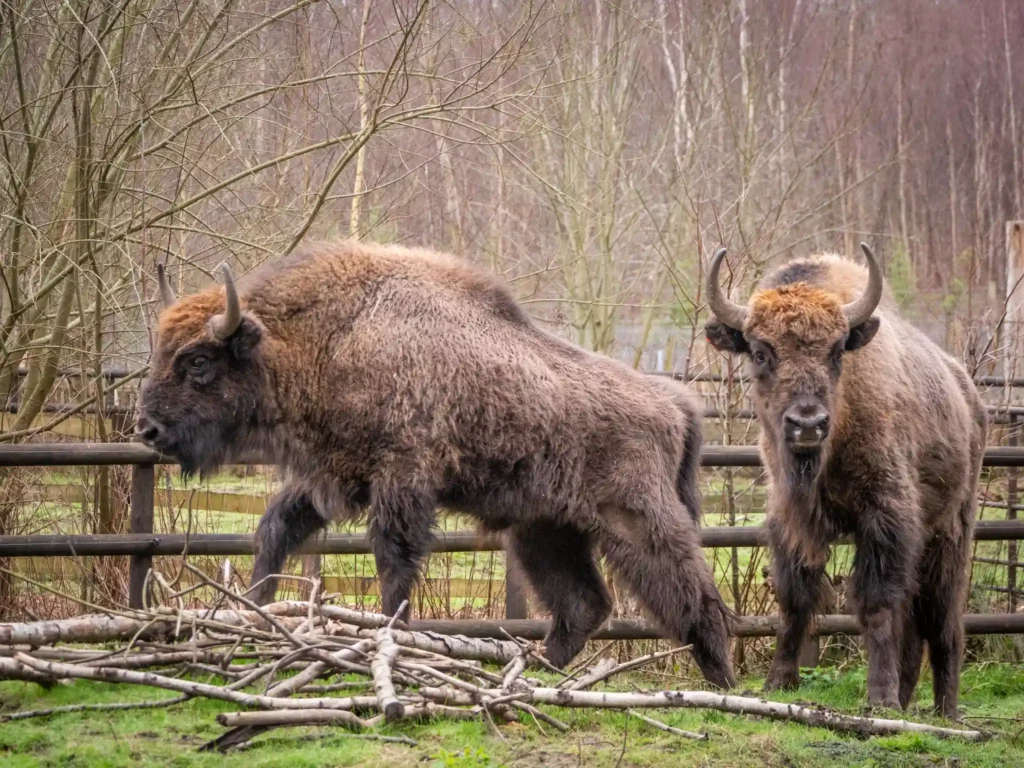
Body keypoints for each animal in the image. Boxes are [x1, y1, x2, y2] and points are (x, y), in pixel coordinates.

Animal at [136, 239, 737, 684]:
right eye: (159, 350)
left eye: (197, 360)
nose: (148, 429)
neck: (333, 336)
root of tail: (672, 402)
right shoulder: (332, 477)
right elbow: (274, 531)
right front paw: (257, 610)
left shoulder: (401, 481)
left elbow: (393, 562)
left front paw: (386, 637)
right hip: (544, 529)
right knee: (583, 604)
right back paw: (535, 674)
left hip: (636, 520)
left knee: (691, 591)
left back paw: (721, 681)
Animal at [704, 243, 983, 720]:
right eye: (760, 352)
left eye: (837, 351)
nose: (807, 424)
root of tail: (968, 393)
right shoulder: (791, 519)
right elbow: (795, 598)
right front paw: (778, 682)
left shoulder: (884, 518)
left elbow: (876, 604)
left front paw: (880, 697)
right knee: (915, 621)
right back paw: (907, 699)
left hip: (951, 532)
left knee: (942, 619)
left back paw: (944, 710)